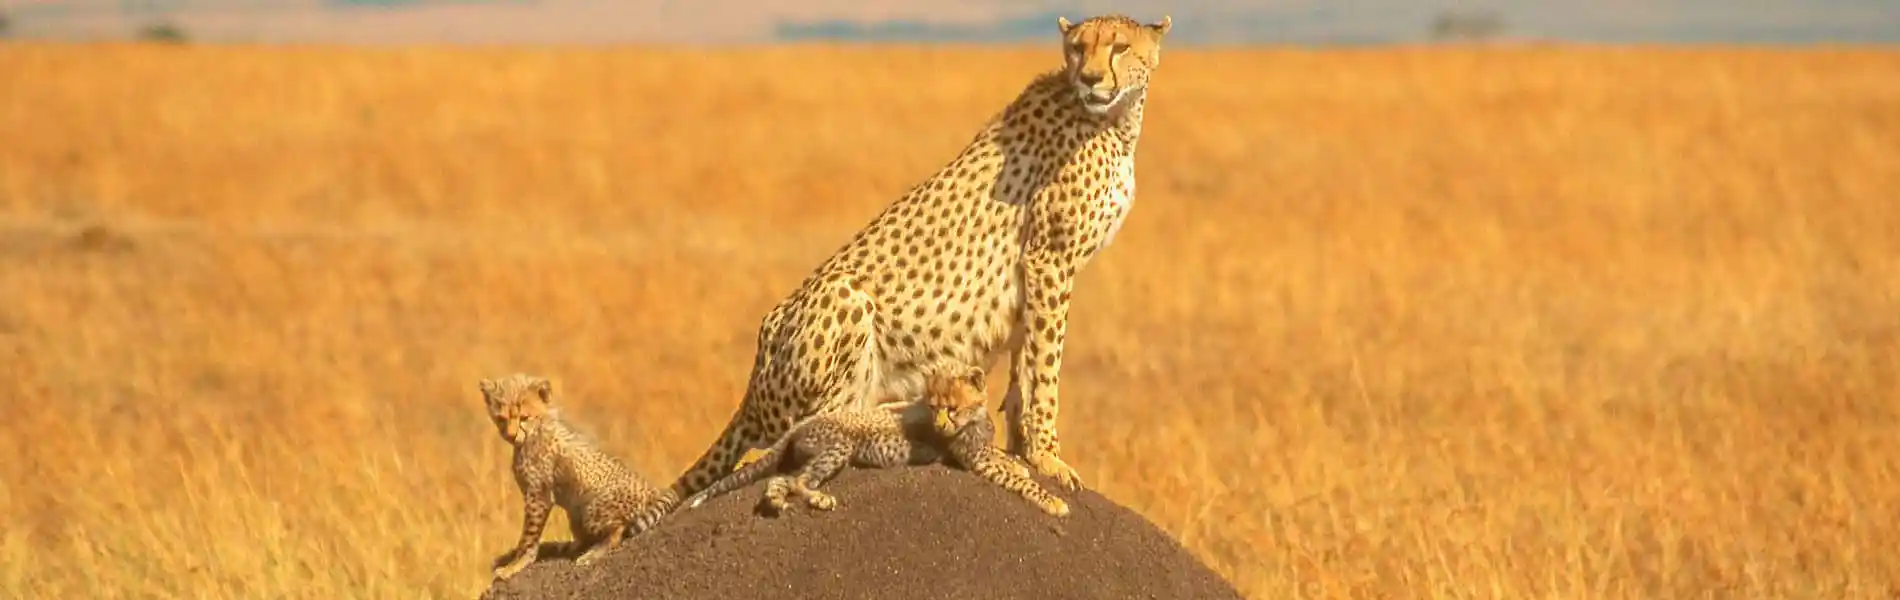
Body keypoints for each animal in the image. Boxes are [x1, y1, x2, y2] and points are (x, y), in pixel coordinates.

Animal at [668, 14, 1170, 501]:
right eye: (1078, 49)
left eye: (1119, 47)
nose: (1089, 78)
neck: (1115, 121)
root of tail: (754, 379)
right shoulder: (1049, 259)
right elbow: (1045, 366)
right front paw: (1048, 456)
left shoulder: (1039, 272)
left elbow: (1023, 366)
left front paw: (1023, 445)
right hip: (846, 300)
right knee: (810, 424)